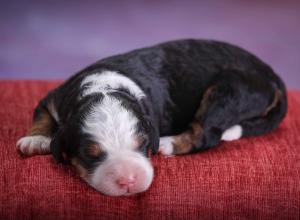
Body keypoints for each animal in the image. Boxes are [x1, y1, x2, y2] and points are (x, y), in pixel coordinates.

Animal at [15, 39, 288, 196]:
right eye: (90, 155)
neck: (103, 85)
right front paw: (36, 139)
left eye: (142, 145)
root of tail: (272, 76)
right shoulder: (55, 97)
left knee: (205, 134)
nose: (128, 180)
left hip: (228, 88)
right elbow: (41, 115)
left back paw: (170, 143)